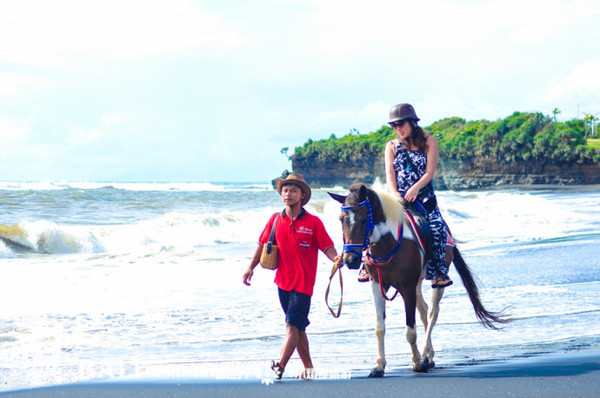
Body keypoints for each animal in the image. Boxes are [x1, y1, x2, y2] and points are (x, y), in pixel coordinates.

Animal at [328, 183, 510, 376]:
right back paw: (428, 355)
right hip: (416, 283)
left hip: (435, 280)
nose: (350, 260)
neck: (389, 243)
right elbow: (379, 327)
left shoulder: (407, 286)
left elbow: (410, 329)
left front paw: (417, 362)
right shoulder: (377, 284)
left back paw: (424, 354)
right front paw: (378, 365)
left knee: (432, 313)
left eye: (363, 220)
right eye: (341, 219)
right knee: (424, 310)